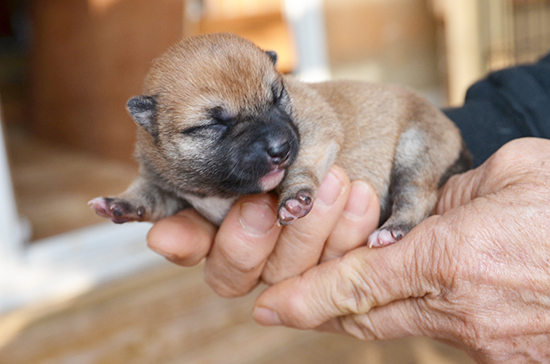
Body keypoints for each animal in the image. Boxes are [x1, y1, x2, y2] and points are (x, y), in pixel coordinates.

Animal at [88, 32, 472, 247]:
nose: (280, 149)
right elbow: (147, 196)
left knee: (417, 196)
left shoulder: (315, 127)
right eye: (214, 123)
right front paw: (119, 203)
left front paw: (295, 198)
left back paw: (392, 230)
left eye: (276, 97)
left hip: (417, 147)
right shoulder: (166, 185)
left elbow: (305, 163)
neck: (214, 188)